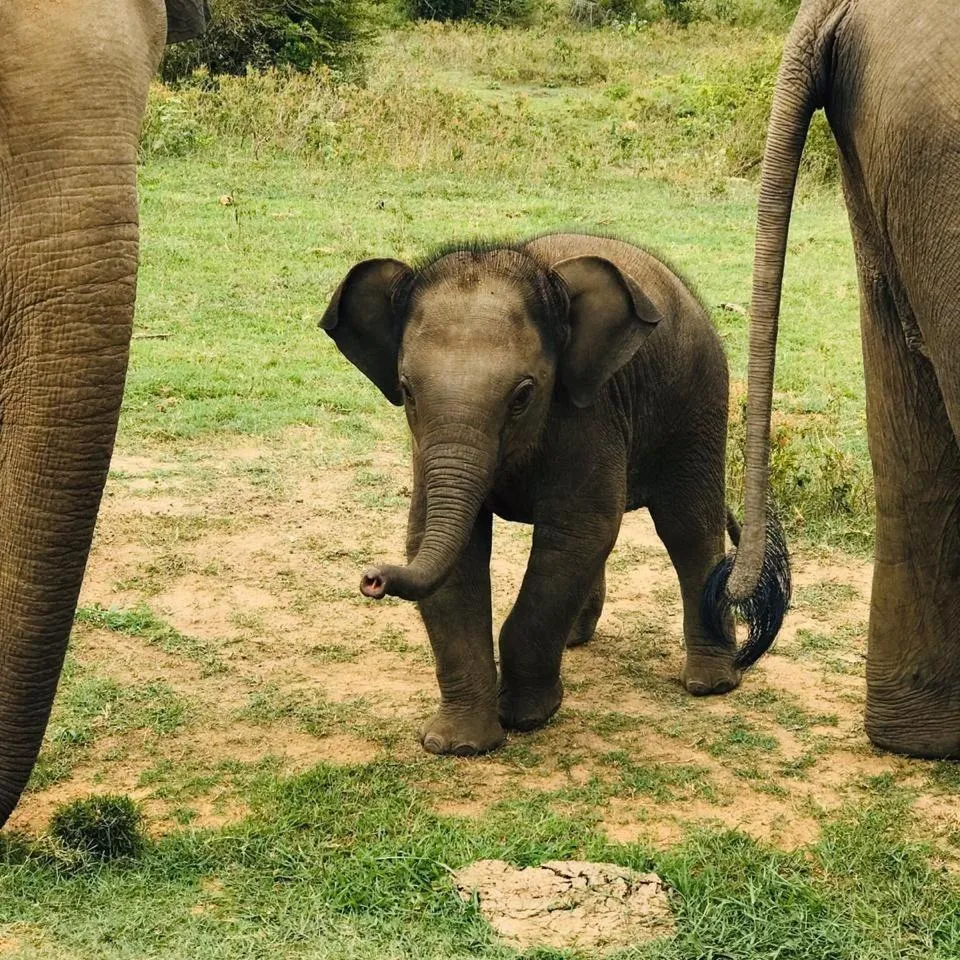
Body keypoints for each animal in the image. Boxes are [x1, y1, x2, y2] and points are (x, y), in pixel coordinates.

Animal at [321, 233, 789, 755]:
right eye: (406, 391)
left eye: (523, 395)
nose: (372, 579)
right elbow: (442, 546)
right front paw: (458, 745)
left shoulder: (586, 412)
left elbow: (577, 532)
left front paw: (527, 717)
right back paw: (575, 641)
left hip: (698, 399)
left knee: (687, 526)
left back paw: (711, 683)